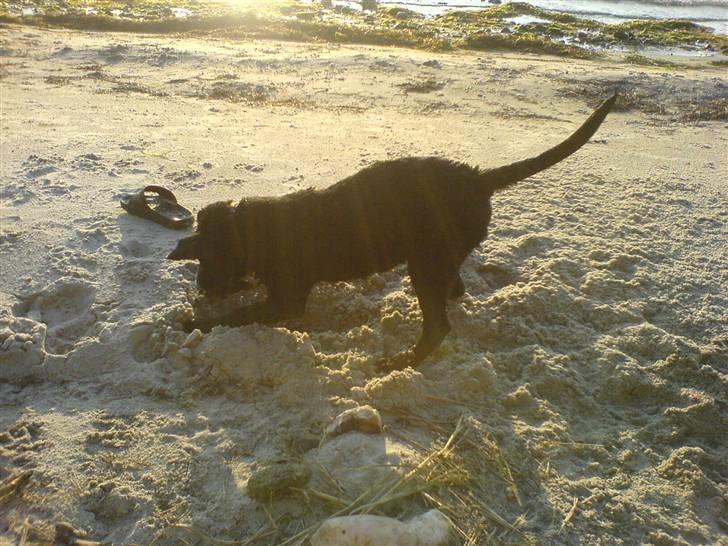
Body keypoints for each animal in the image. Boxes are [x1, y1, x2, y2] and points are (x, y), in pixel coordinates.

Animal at [169, 95, 616, 368]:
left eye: (208, 260)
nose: (203, 288)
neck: (253, 229)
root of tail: (478, 178)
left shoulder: (287, 302)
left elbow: (240, 314)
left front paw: (194, 323)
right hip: (438, 257)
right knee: (453, 290)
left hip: (426, 263)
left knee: (438, 325)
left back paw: (402, 362)